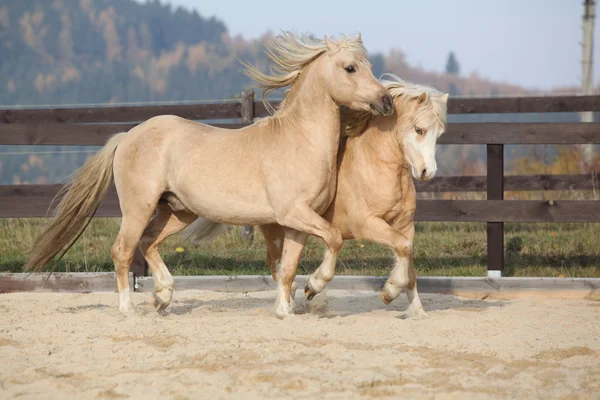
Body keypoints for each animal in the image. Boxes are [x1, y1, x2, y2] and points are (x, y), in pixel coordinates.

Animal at [24, 32, 394, 318]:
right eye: (350, 67)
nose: (387, 101)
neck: (299, 140)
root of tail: (127, 136)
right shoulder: (294, 214)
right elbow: (333, 239)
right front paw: (312, 288)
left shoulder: (297, 223)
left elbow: (288, 267)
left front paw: (286, 309)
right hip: (138, 208)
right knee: (123, 250)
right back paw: (129, 308)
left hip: (178, 211)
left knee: (149, 243)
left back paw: (163, 297)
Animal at [185, 76, 448, 318]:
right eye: (419, 129)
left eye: (439, 134)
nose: (427, 172)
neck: (375, 166)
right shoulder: (367, 225)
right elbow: (402, 249)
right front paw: (387, 291)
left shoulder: (405, 225)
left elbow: (409, 266)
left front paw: (417, 312)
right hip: (275, 230)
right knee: (278, 265)